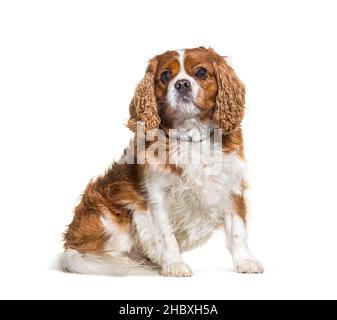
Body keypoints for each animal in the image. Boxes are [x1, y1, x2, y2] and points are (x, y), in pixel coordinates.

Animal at [61, 46, 264, 276]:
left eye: (201, 72)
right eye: (165, 76)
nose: (182, 84)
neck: (191, 137)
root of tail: (69, 245)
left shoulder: (231, 188)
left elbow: (238, 230)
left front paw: (245, 261)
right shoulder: (156, 197)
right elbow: (166, 235)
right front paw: (174, 264)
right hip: (109, 218)